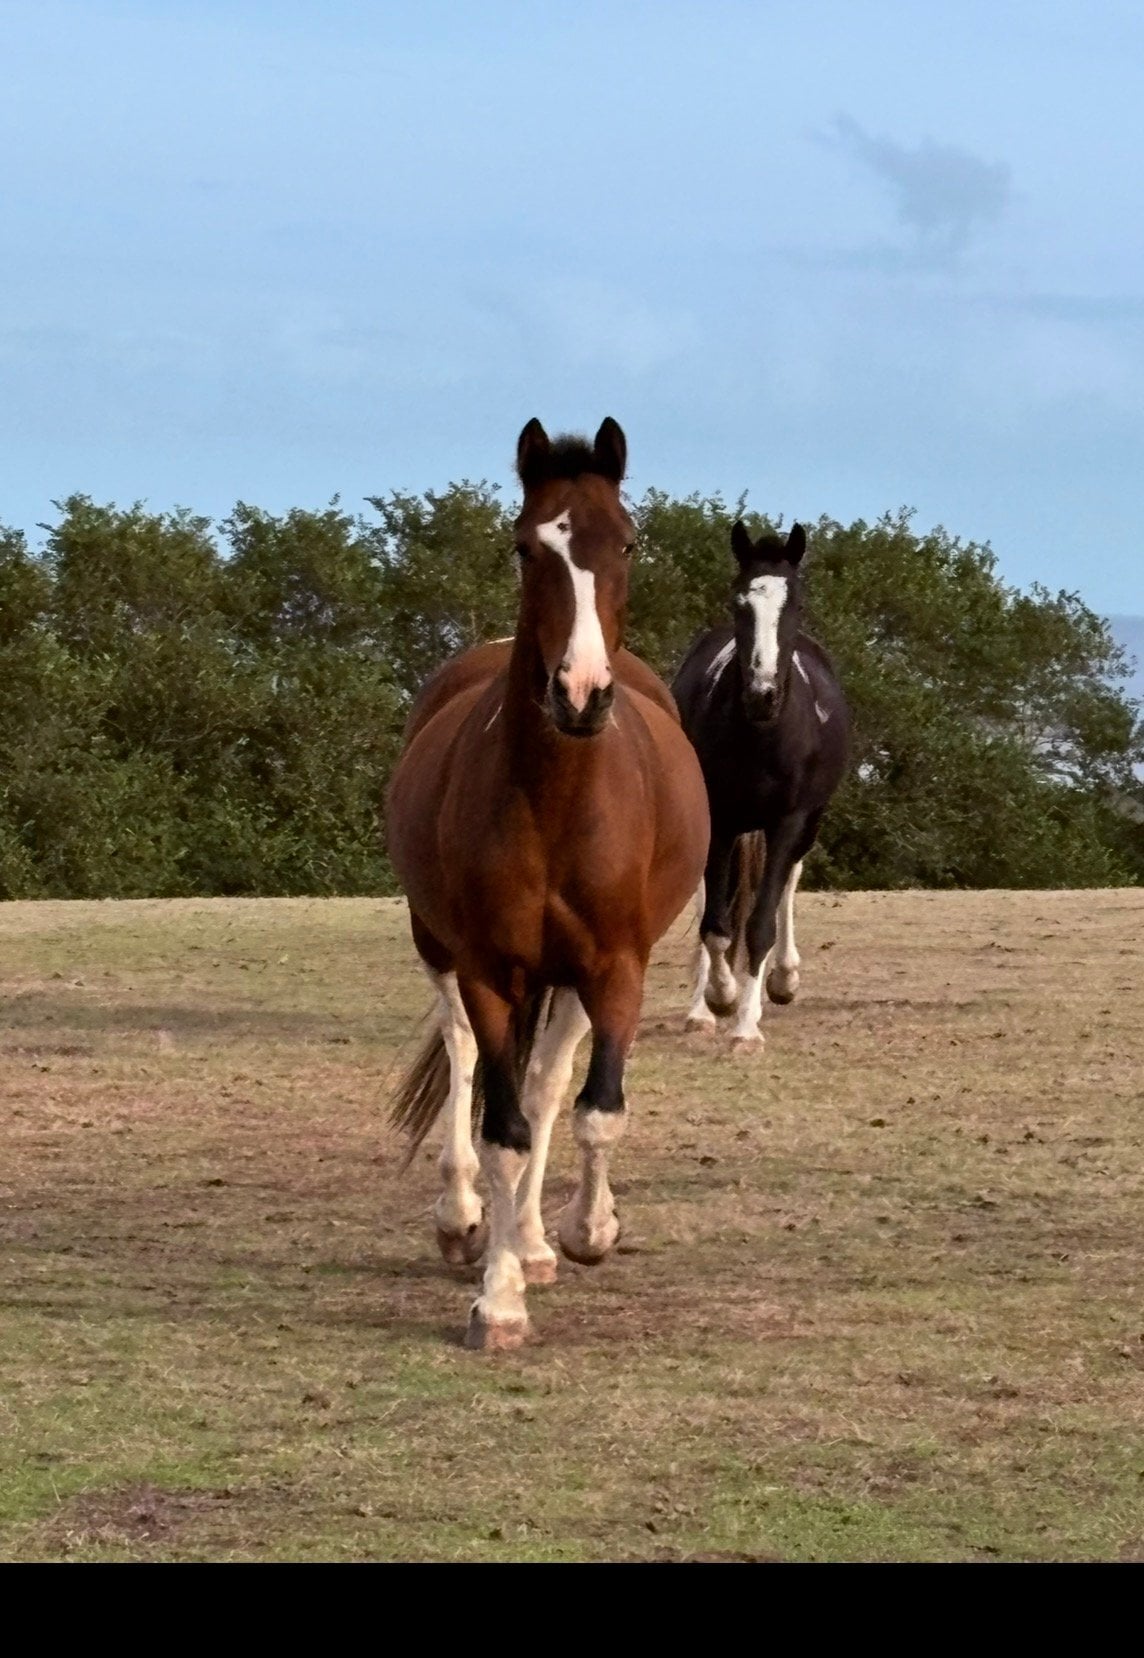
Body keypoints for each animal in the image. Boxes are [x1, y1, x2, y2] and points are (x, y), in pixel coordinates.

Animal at [386, 418, 709, 1350]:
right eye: (528, 547)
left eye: (626, 541)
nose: (579, 692)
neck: (557, 802)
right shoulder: (491, 970)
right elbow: (503, 1132)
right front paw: (496, 1301)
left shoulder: (616, 967)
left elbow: (594, 1109)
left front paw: (584, 1231)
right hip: (442, 948)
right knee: (466, 1061)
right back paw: (466, 1221)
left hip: (569, 979)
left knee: (549, 1082)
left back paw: (531, 1239)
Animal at [671, 520, 849, 1050]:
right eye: (739, 603)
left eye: (796, 605)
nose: (762, 693)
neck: (763, 735)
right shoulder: (721, 820)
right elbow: (715, 925)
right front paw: (719, 998)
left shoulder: (788, 822)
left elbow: (761, 924)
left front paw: (747, 1026)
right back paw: (703, 1007)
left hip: (807, 823)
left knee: (788, 881)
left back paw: (784, 979)